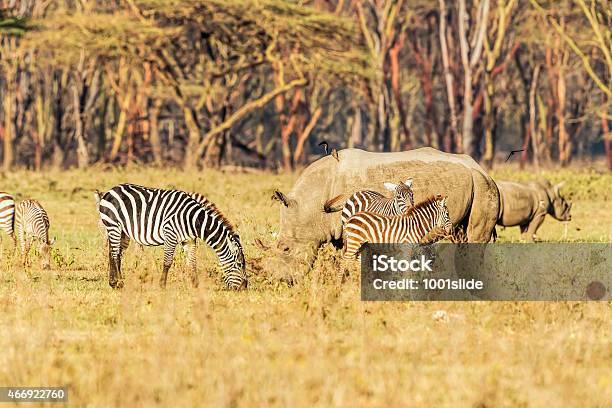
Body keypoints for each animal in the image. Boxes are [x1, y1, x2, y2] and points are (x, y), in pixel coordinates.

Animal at [98, 185, 246, 290]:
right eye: (239, 264)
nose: (244, 287)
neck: (194, 220)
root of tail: (111, 190)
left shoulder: (189, 240)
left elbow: (192, 263)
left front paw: (196, 285)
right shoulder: (170, 234)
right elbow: (167, 262)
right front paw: (162, 285)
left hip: (123, 232)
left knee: (116, 254)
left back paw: (117, 282)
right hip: (113, 226)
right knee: (114, 254)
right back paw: (117, 283)